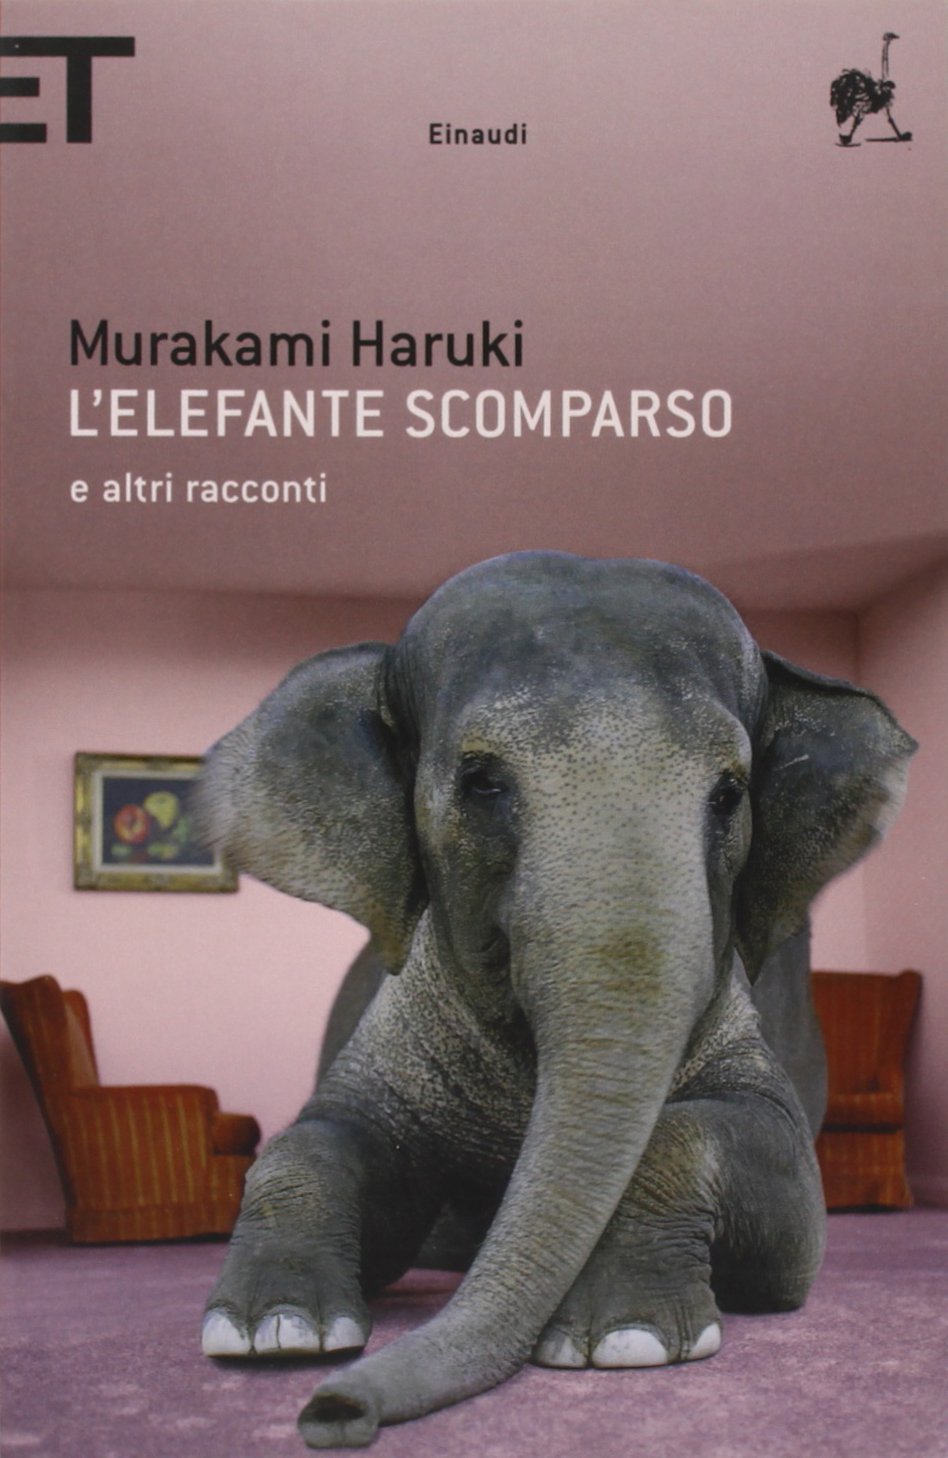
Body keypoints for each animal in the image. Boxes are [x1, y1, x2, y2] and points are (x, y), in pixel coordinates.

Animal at [197, 551, 915, 1448]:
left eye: (729, 793)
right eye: (481, 780)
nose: (332, 1414)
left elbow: (786, 1201)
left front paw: (626, 1340)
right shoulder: (400, 1030)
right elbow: (325, 1139)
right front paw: (275, 1332)